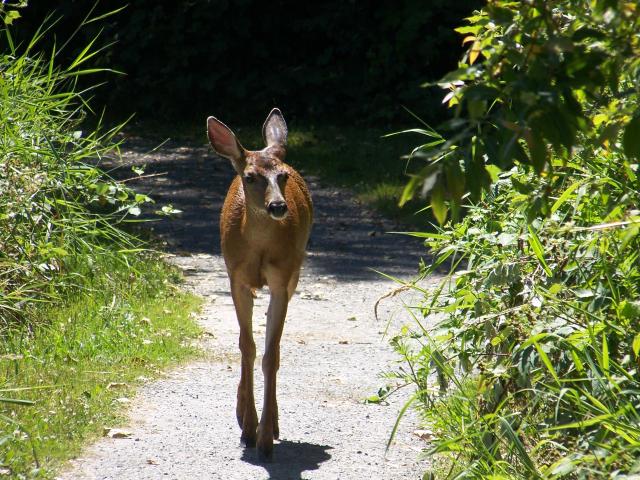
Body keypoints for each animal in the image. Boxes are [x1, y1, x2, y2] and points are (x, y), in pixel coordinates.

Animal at [206, 107, 314, 460]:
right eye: (251, 177)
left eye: (283, 177)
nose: (278, 206)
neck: (259, 249)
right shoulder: (236, 278)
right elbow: (247, 347)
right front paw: (249, 429)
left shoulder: (282, 281)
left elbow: (271, 354)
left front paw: (265, 436)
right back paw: (242, 417)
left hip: (295, 270)